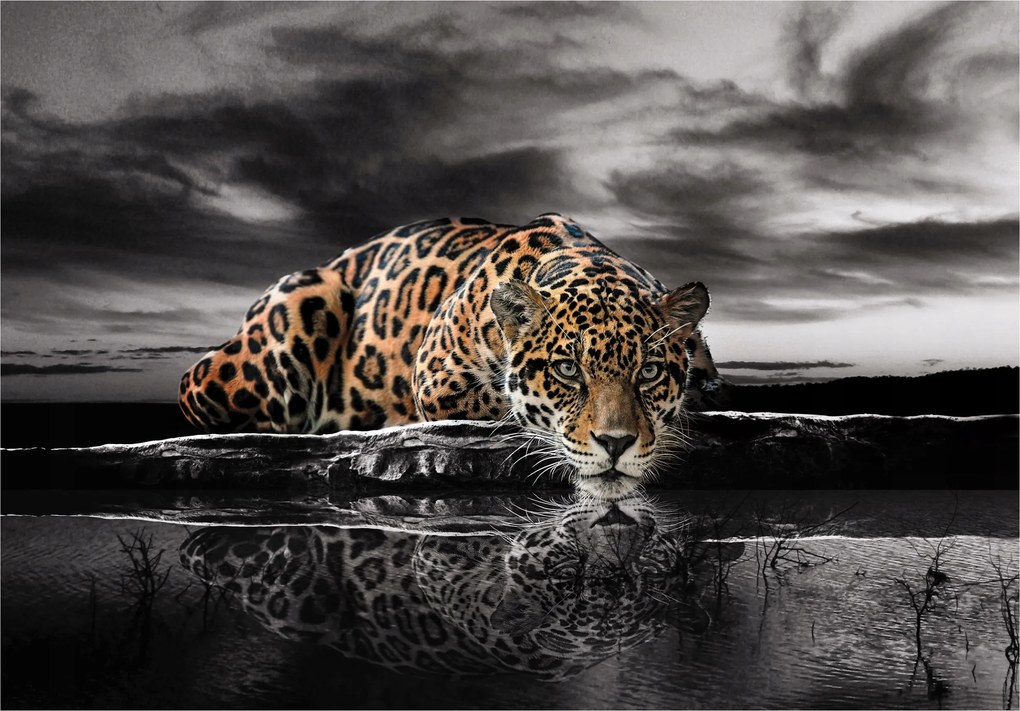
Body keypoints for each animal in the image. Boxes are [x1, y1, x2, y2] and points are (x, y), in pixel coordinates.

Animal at [179, 213, 727, 500]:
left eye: (649, 372)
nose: (616, 444)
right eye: (568, 370)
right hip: (290, 316)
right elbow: (506, 405)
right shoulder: (437, 379)